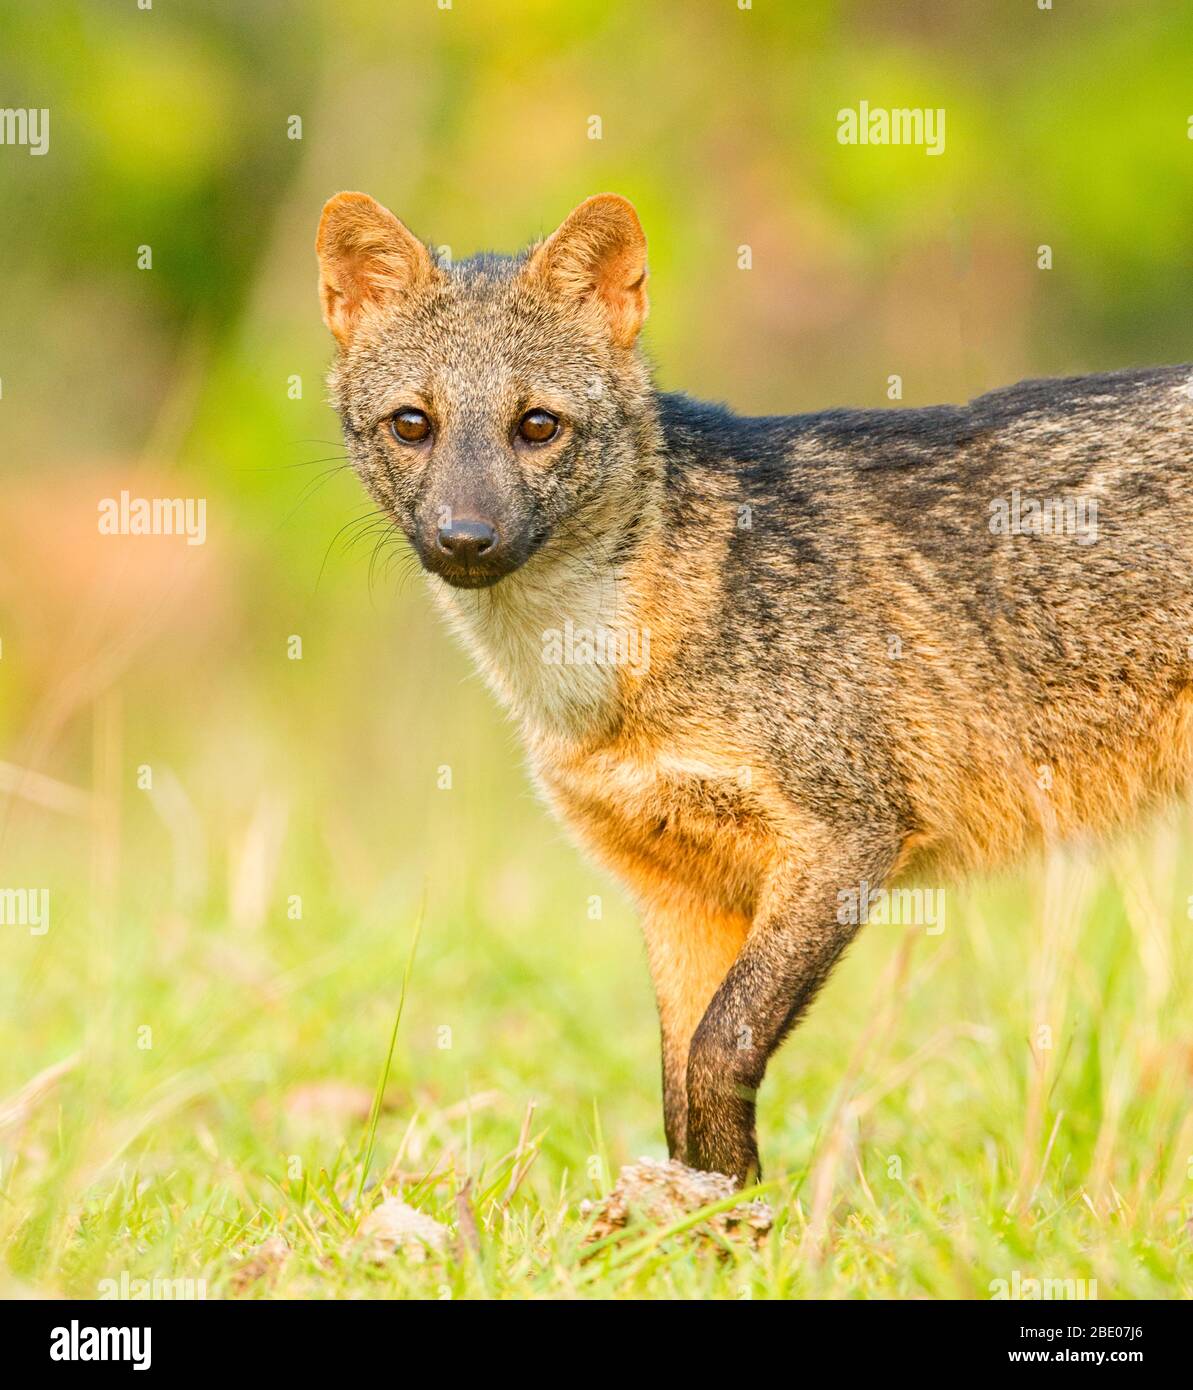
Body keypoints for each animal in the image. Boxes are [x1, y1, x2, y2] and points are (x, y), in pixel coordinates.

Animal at [315, 190, 1193, 1184]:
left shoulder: (845, 839)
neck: (606, 675)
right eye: (411, 424)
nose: (465, 538)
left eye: (536, 425)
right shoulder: (677, 890)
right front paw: (710, 1213)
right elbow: (678, 1094)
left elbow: (718, 1053)